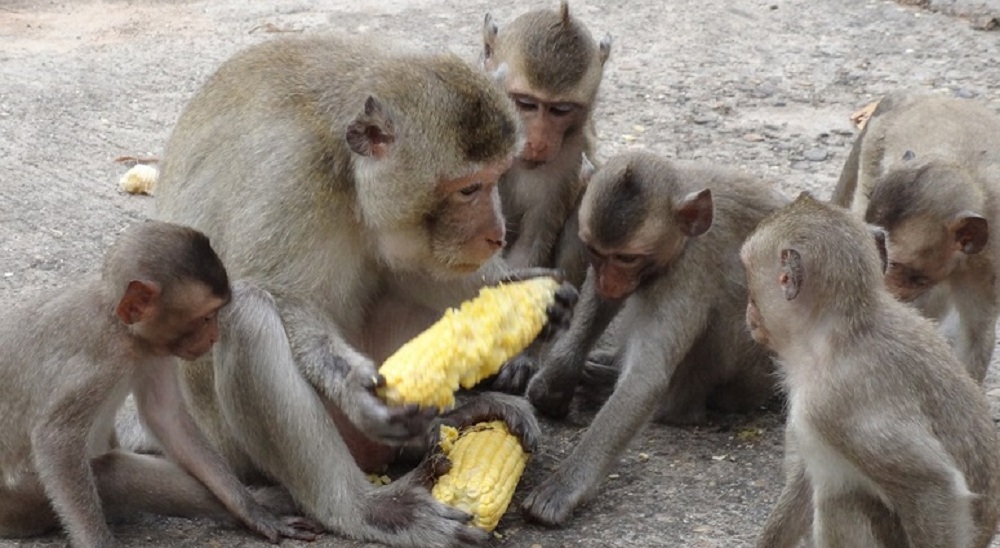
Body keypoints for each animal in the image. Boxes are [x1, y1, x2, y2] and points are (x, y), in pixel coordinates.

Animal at [0, 221, 318, 547]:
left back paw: (266, 502)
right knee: (115, 474)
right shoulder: (97, 365)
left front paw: (251, 509)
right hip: (19, 503)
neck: (122, 329)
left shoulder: (154, 351)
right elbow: (55, 440)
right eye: (206, 317)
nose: (214, 336)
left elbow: (167, 416)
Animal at [128, 35, 571, 547]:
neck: (346, 174)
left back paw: (453, 416)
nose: (496, 236)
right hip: (226, 443)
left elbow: (414, 266)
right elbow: (271, 292)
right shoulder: (291, 175)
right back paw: (363, 509)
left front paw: (526, 293)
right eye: (467, 189)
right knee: (248, 316)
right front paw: (357, 390)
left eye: (498, 178)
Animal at [520, 151, 785, 527]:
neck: (685, 236)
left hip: (751, 374)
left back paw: (671, 405)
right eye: (595, 251)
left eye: (628, 257)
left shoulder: (689, 271)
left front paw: (564, 486)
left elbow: (645, 379)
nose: (611, 280)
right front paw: (556, 380)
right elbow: (601, 301)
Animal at [742, 193, 1000, 548]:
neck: (838, 333)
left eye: (748, 272)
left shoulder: (834, 403)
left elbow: (935, 486)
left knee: (842, 501)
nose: (748, 310)